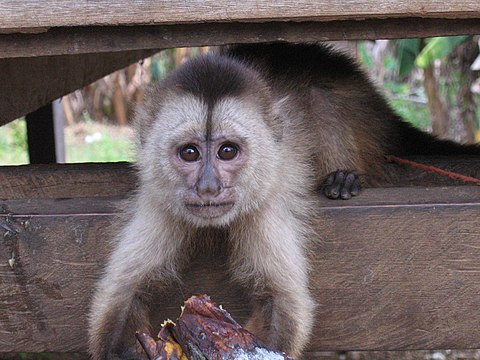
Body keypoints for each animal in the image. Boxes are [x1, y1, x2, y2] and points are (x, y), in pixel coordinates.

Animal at [87, 41, 480, 358]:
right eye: (189, 153)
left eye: (227, 151)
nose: (209, 187)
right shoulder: (161, 199)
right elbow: (123, 294)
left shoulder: (266, 202)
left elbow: (282, 302)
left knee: (322, 98)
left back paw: (343, 177)